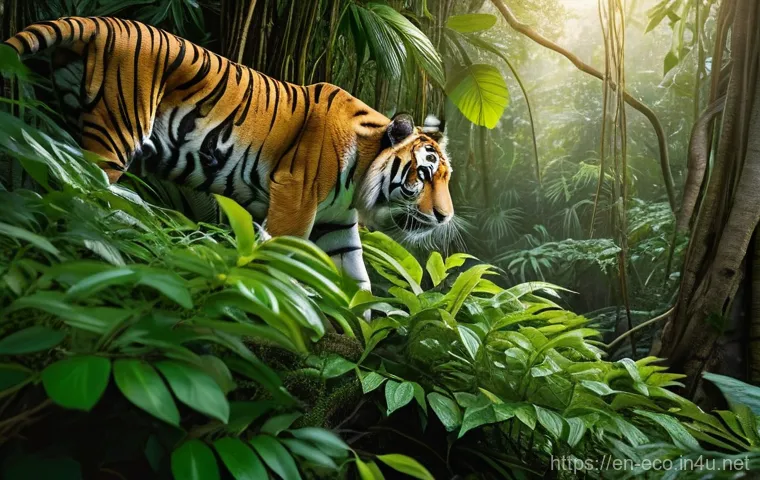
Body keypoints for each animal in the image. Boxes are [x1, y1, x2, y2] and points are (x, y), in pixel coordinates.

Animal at [4, 16, 455, 293]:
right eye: (423, 174)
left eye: (446, 177)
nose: (445, 216)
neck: (361, 176)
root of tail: (105, 22)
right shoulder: (295, 198)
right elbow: (283, 256)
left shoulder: (337, 224)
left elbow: (358, 283)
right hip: (115, 137)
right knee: (79, 194)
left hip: (71, 125)